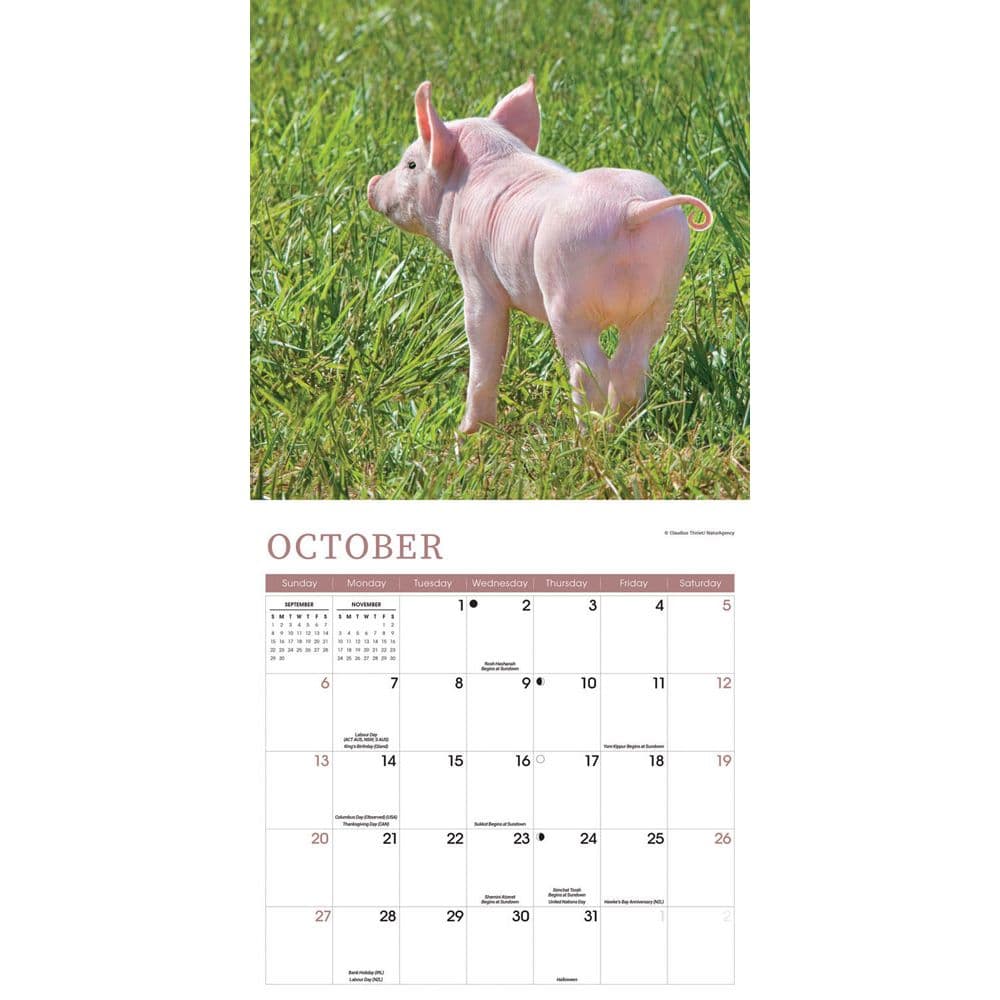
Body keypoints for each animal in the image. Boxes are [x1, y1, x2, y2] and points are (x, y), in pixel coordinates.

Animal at [366, 76, 713, 433]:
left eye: (410, 164)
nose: (372, 183)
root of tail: (632, 208)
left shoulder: (475, 273)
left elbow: (484, 343)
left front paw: (467, 434)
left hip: (568, 291)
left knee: (589, 367)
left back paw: (588, 436)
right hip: (662, 289)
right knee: (632, 360)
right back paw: (620, 426)